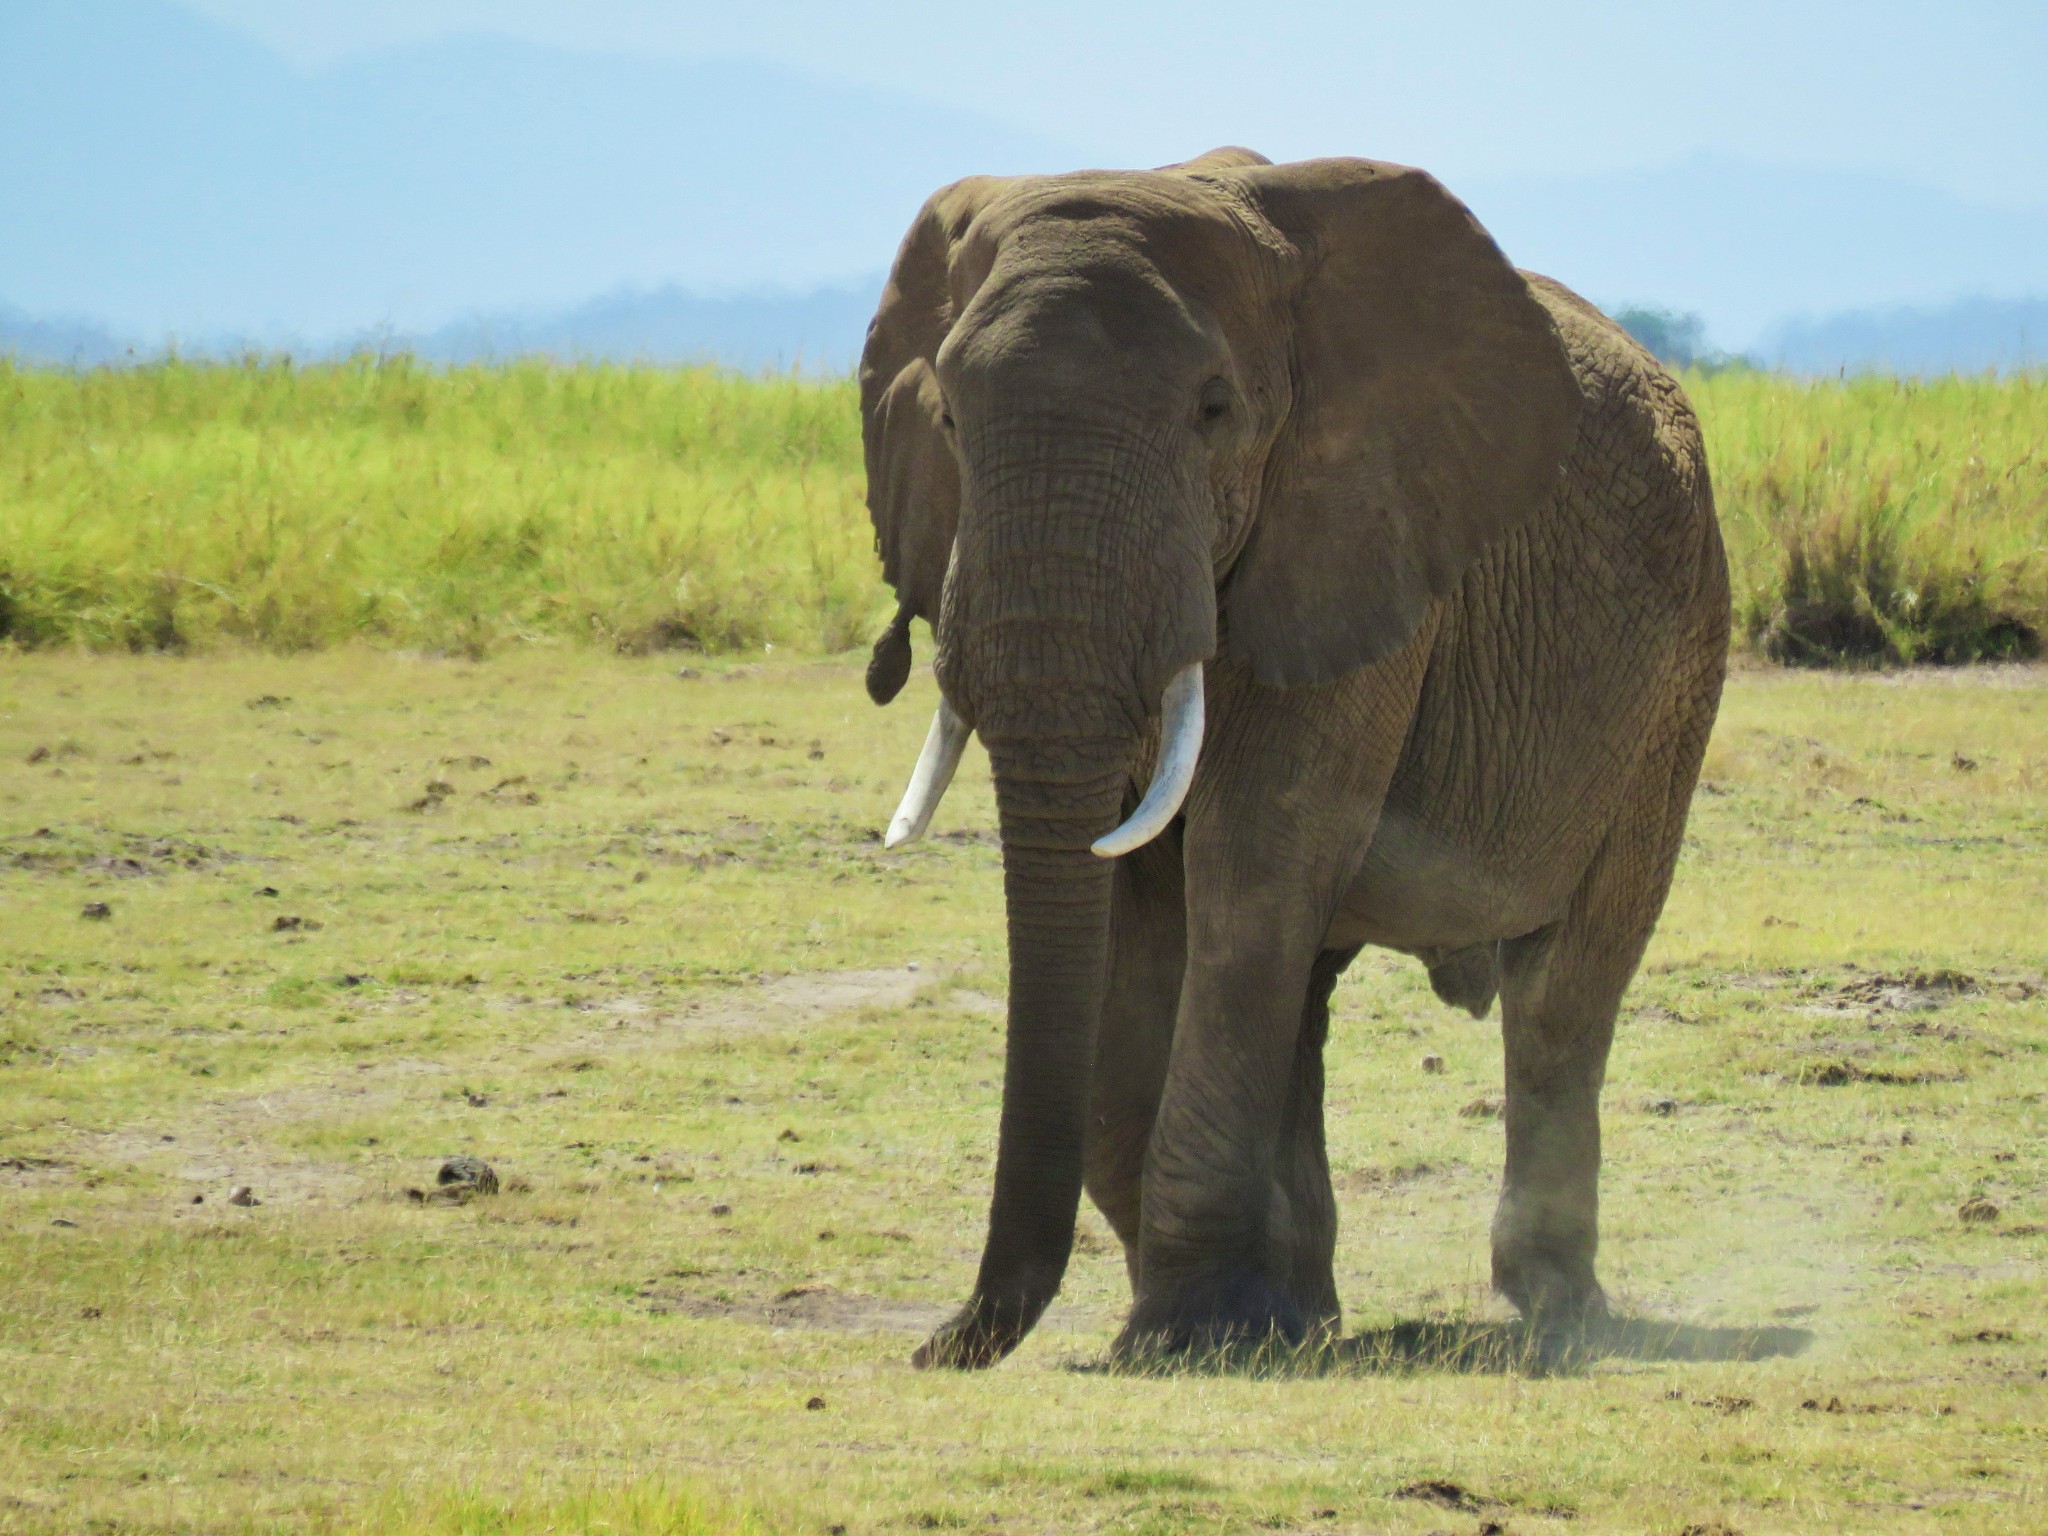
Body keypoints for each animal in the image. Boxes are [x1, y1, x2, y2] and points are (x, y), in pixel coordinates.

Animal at [851, 144, 1728, 1368]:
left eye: (1213, 411)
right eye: (942, 415)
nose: (932, 1348)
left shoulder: (1362, 537)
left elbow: (1252, 856)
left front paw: (1186, 1336)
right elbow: (1140, 898)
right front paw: (1222, 1321)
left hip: (1677, 671)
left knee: (1565, 985)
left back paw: (1554, 1309)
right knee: (1304, 987)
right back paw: (1307, 1311)